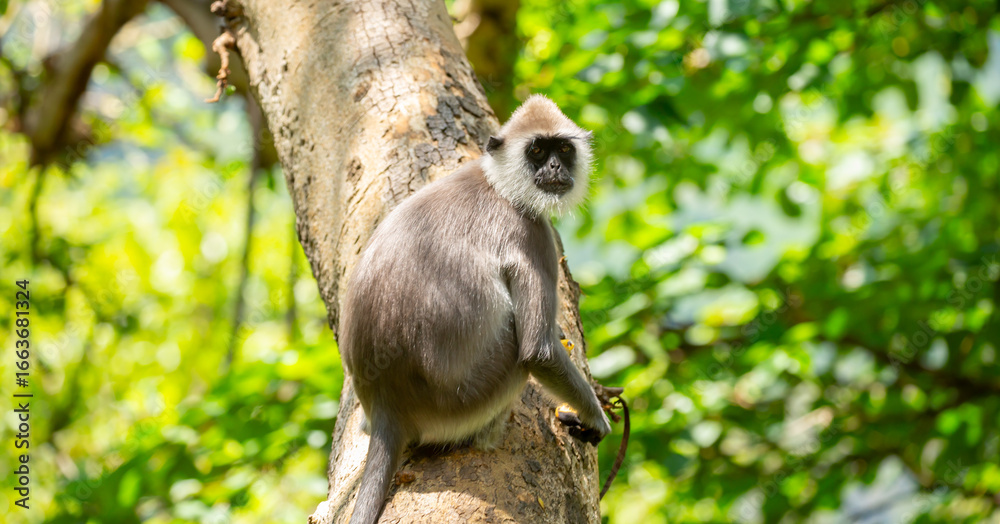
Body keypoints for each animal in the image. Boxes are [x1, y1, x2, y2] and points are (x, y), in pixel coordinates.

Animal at [339, 95, 612, 524]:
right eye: (537, 151)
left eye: (564, 150)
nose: (555, 168)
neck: (498, 185)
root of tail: (386, 406)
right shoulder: (532, 233)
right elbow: (538, 352)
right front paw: (595, 419)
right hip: (468, 398)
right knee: (518, 354)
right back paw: (488, 434)